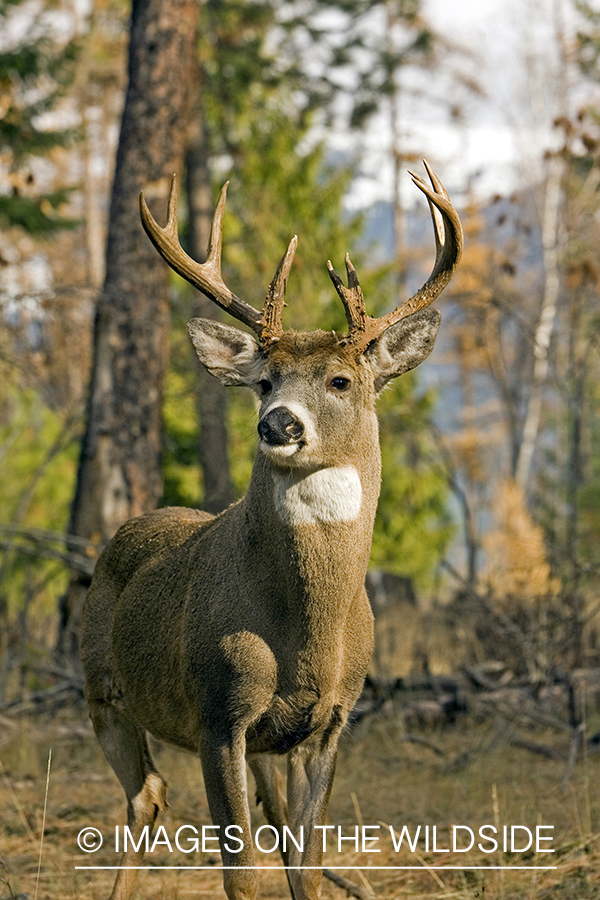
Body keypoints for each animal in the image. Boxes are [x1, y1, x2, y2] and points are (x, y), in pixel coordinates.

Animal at [80, 161, 462, 900]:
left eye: (341, 380)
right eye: (263, 380)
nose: (278, 423)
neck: (307, 633)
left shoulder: (330, 722)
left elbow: (303, 865)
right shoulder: (217, 710)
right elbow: (243, 873)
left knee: (249, 811)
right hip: (99, 683)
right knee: (146, 794)